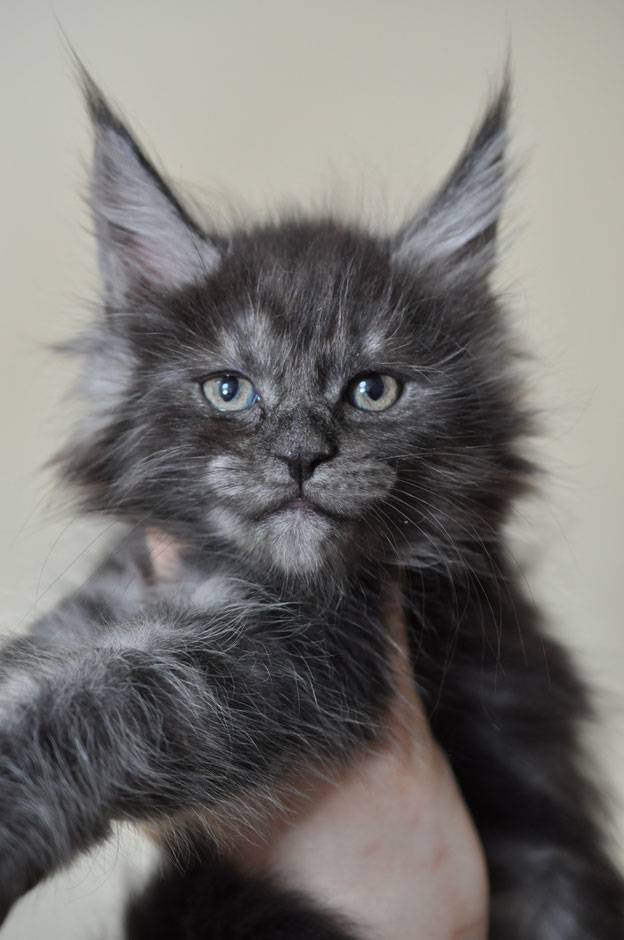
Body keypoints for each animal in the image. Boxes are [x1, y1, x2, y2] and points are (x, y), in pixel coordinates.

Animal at [1, 75, 624, 940]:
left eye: (374, 390)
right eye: (231, 390)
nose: (301, 457)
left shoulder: (317, 653)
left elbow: (111, 693)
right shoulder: (131, 583)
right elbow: (51, 655)